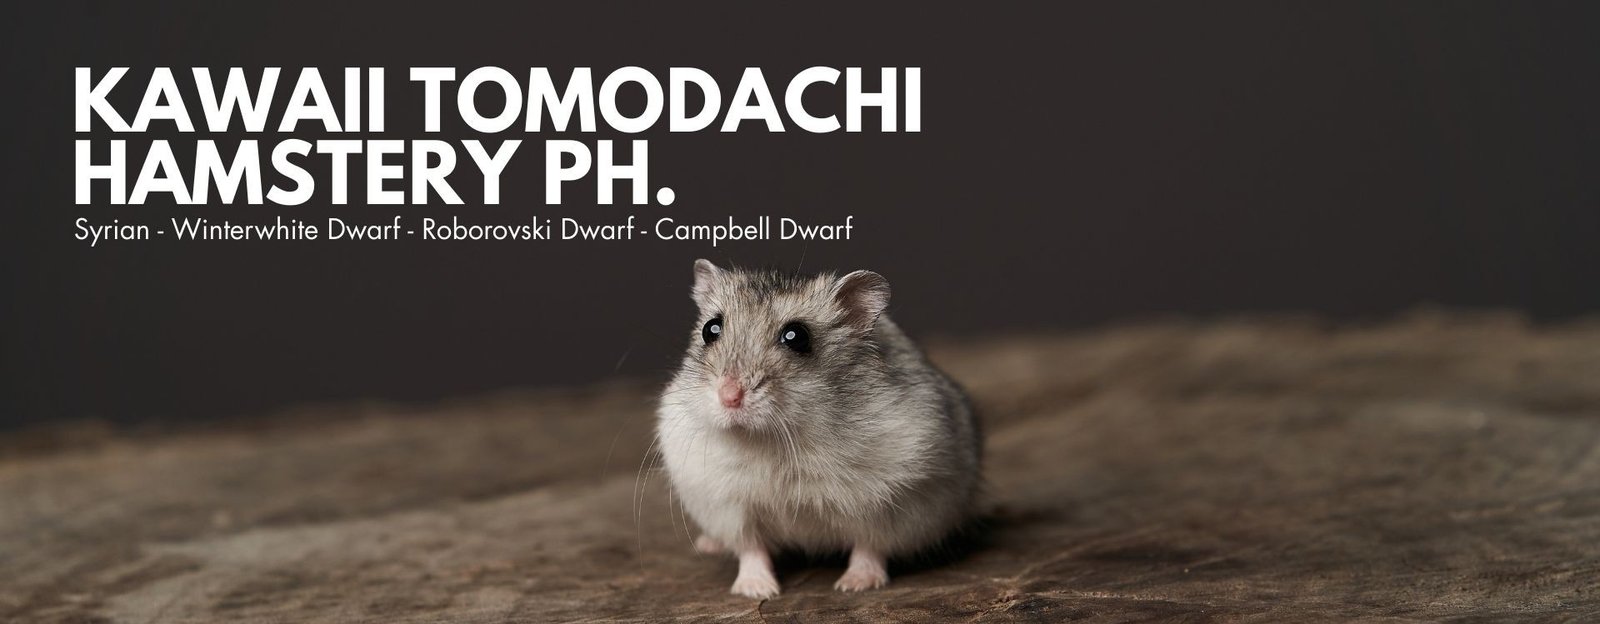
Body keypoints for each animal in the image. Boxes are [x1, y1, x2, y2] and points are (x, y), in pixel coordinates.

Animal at [656, 259, 982, 598]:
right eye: (710, 329)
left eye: (796, 336)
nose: (729, 396)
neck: (773, 438)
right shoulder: (729, 506)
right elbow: (751, 548)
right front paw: (757, 591)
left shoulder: (889, 501)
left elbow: (869, 546)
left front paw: (854, 585)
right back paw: (709, 545)